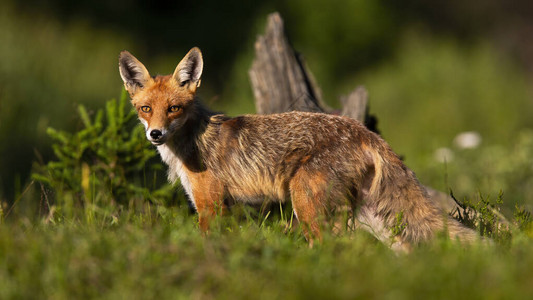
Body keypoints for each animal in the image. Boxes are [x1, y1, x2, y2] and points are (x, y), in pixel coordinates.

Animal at [119, 46, 478, 248]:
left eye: (174, 109)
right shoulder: (224, 207)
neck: (193, 142)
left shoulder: (211, 206)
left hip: (307, 208)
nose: (155, 134)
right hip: (371, 218)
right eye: (146, 109)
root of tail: (364, 131)